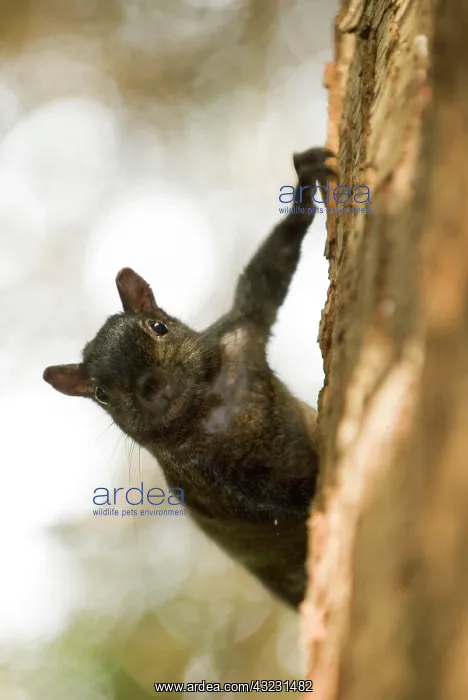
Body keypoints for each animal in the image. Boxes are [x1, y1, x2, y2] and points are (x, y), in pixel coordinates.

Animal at [43, 147, 336, 609]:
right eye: (102, 394)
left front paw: (305, 185)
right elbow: (267, 504)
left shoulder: (240, 335)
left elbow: (266, 274)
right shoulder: (205, 482)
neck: (208, 408)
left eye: (158, 326)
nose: (151, 387)